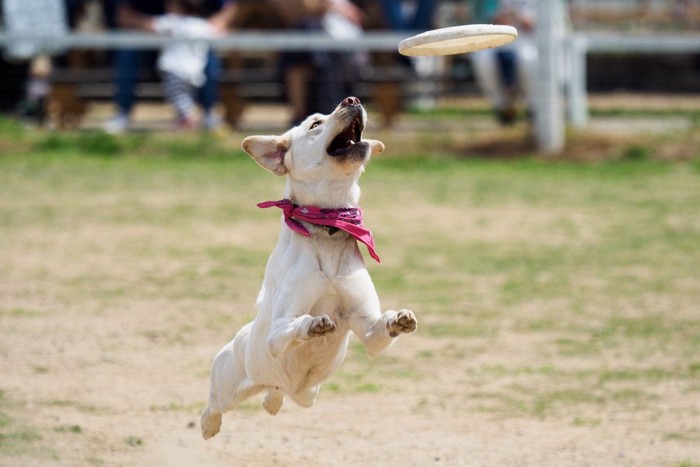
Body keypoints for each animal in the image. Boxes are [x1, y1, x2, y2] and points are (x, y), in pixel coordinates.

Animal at [200, 97, 418, 440]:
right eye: (315, 124)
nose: (352, 100)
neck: (328, 225)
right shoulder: (278, 332)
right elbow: (296, 325)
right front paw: (314, 325)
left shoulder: (368, 329)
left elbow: (381, 328)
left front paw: (400, 318)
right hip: (227, 382)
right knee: (214, 403)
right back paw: (209, 425)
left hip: (308, 395)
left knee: (278, 393)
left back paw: (271, 402)